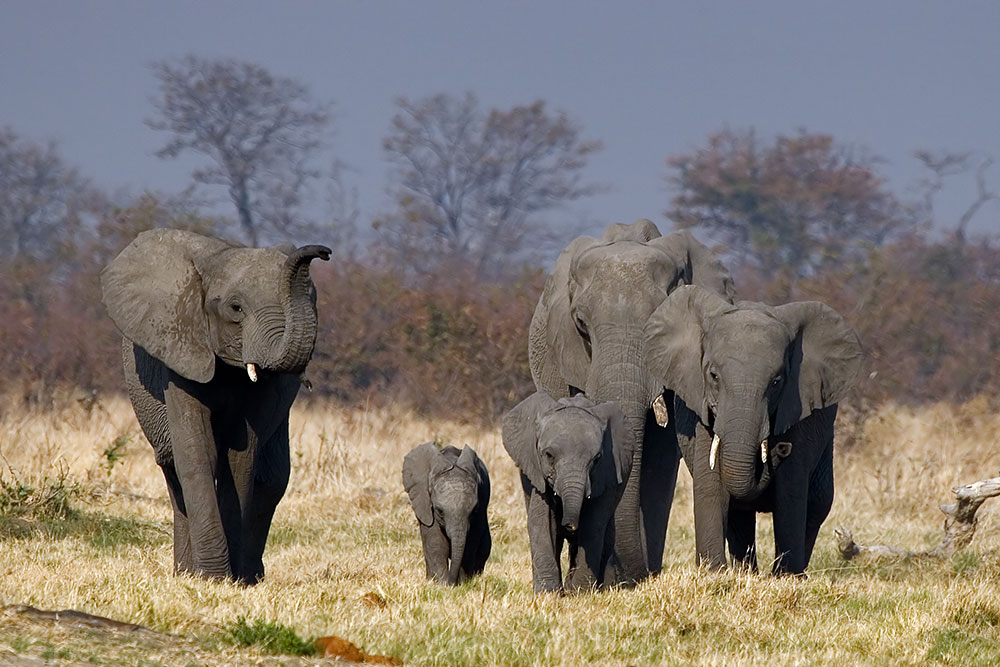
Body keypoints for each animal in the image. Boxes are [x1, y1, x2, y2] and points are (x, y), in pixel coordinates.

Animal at [104, 230, 334, 584]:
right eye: (236, 308)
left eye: (312, 300)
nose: (323, 252)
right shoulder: (181, 347)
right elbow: (199, 455)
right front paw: (211, 577)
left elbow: (241, 458)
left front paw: (230, 580)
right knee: (172, 462)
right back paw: (186, 572)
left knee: (272, 475)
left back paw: (249, 576)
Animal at [400, 444, 490, 584]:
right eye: (440, 511)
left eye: (473, 511)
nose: (451, 582)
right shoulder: (425, 502)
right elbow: (435, 540)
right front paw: (440, 583)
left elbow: (470, 542)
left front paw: (462, 584)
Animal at [500, 392, 632, 596]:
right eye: (548, 455)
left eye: (596, 459)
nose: (570, 525)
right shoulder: (536, 470)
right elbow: (542, 521)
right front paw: (548, 594)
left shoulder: (608, 472)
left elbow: (593, 524)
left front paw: (579, 592)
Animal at [644, 286, 864, 576]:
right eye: (713, 376)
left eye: (777, 381)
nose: (780, 448)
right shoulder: (698, 408)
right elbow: (711, 482)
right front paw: (713, 573)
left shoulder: (798, 408)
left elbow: (792, 487)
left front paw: (786, 577)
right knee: (738, 513)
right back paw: (745, 573)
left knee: (818, 503)